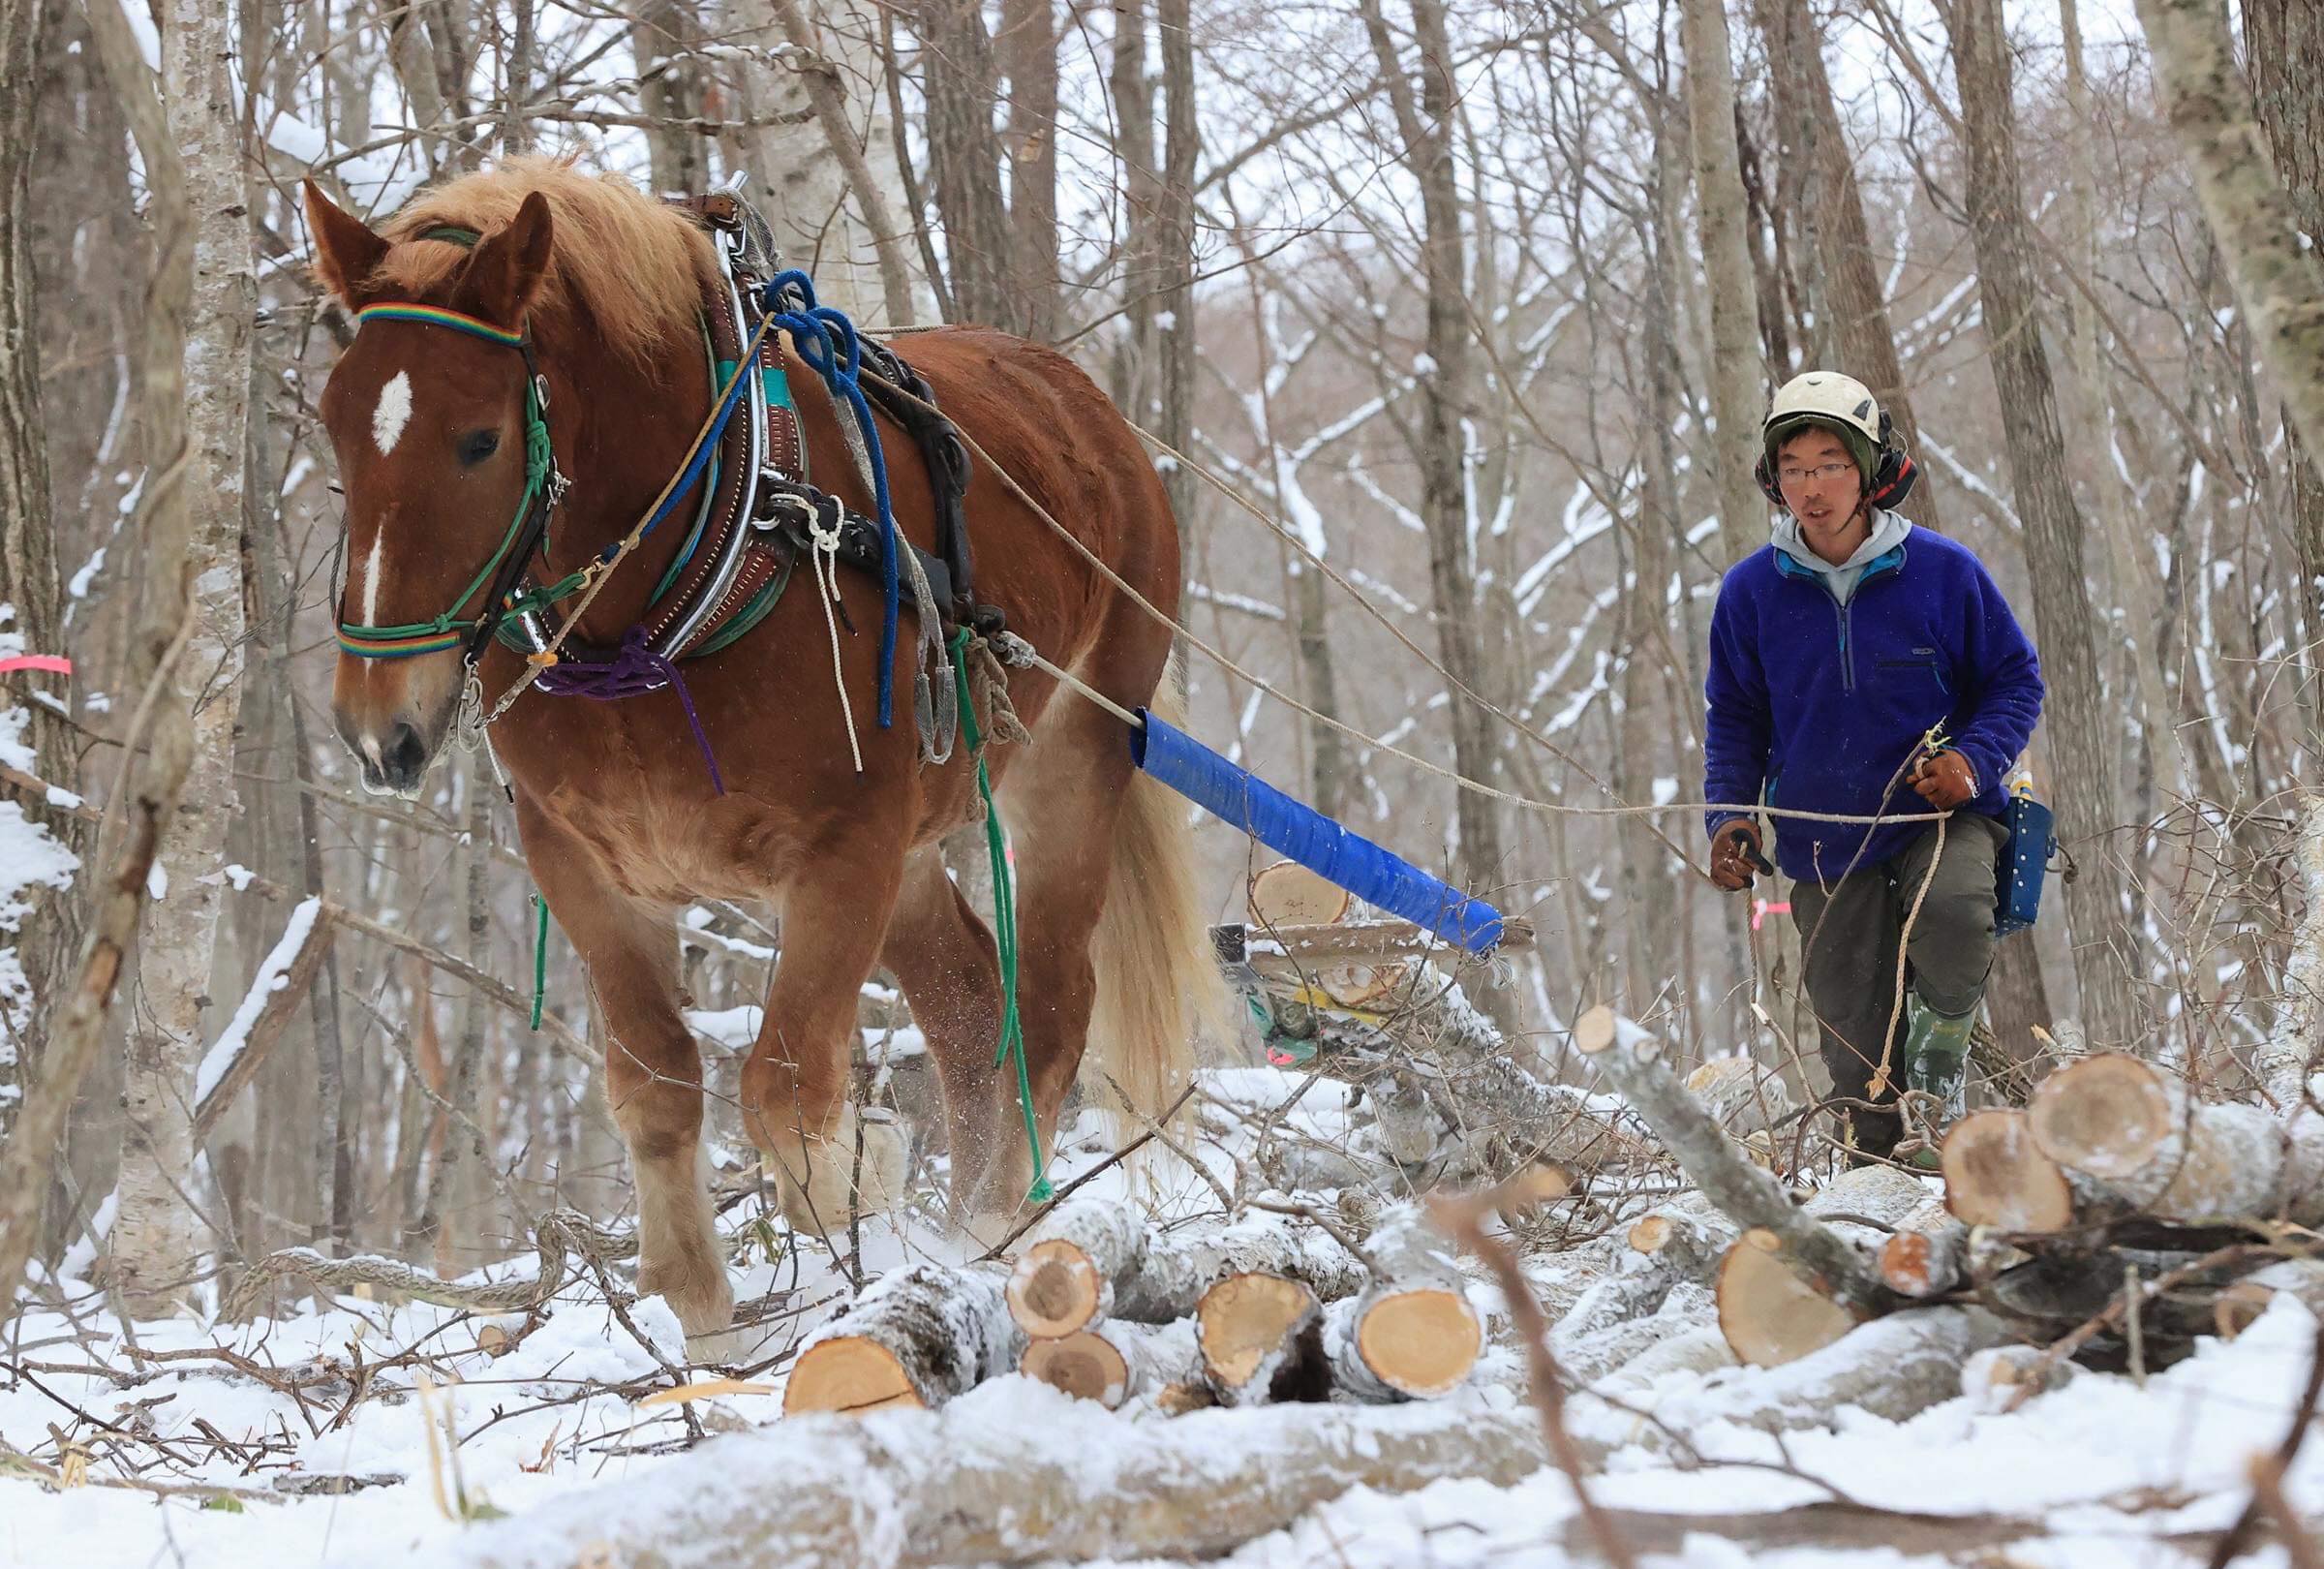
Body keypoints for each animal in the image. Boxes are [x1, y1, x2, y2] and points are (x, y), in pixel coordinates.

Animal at [302, 157, 1227, 1338]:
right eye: (337, 433)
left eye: (479, 440)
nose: (382, 725)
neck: (657, 623)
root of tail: (1090, 410)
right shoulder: (583, 865)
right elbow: (655, 1086)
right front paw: (702, 1314)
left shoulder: (842, 849)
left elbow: (787, 1093)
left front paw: (848, 1253)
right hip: (913, 851)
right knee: (972, 1013)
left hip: (1074, 759)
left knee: (1053, 1007)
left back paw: (987, 1231)